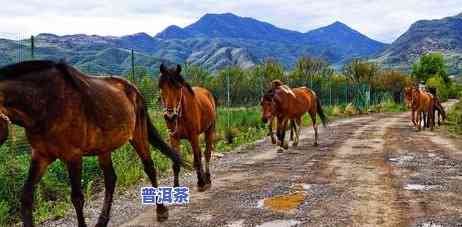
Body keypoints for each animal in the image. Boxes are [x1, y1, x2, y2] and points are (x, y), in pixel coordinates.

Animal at [0, 60, 184, 227]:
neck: (46, 103)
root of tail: (134, 89)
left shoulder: (73, 156)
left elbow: (77, 198)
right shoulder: (40, 155)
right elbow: (26, 196)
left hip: (138, 135)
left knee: (149, 168)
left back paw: (161, 211)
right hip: (104, 147)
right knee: (110, 179)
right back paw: (102, 221)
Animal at [159, 63, 217, 192]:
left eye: (178, 88)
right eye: (161, 88)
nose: (170, 117)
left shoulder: (193, 136)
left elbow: (196, 159)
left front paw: (201, 183)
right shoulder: (174, 137)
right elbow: (176, 163)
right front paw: (176, 187)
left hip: (209, 130)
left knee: (206, 153)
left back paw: (207, 179)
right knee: (200, 153)